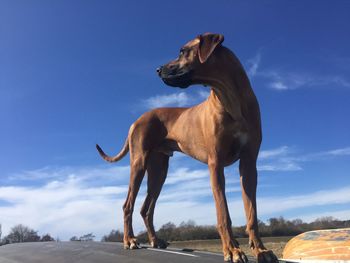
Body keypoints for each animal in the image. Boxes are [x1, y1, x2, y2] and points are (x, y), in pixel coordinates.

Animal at [97, 33, 278, 263]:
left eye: (183, 51)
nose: (157, 69)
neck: (230, 98)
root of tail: (136, 120)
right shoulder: (215, 165)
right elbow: (223, 214)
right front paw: (232, 250)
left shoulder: (249, 165)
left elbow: (251, 213)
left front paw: (260, 250)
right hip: (139, 163)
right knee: (127, 205)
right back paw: (129, 240)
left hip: (159, 171)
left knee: (146, 209)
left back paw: (155, 240)